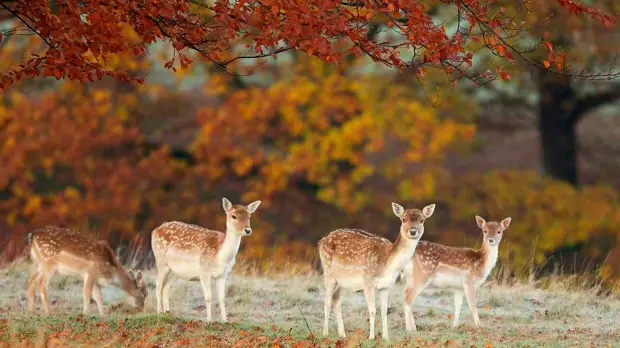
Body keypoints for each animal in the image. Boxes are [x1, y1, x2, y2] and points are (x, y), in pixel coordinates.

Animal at [320, 201, 436, 340]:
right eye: (403, 219)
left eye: (422, 220)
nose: (413, 231)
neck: (387, 265)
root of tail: (322, 241)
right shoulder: (367, 281)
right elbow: (372, 310)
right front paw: (371, 337)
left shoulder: (385, 285)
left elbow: (384, 311)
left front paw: (386, 338)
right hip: (328, 271)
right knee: (327, 301)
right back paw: (325, 333)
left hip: (342, 280)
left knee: (336, 299)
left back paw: (342, 334)